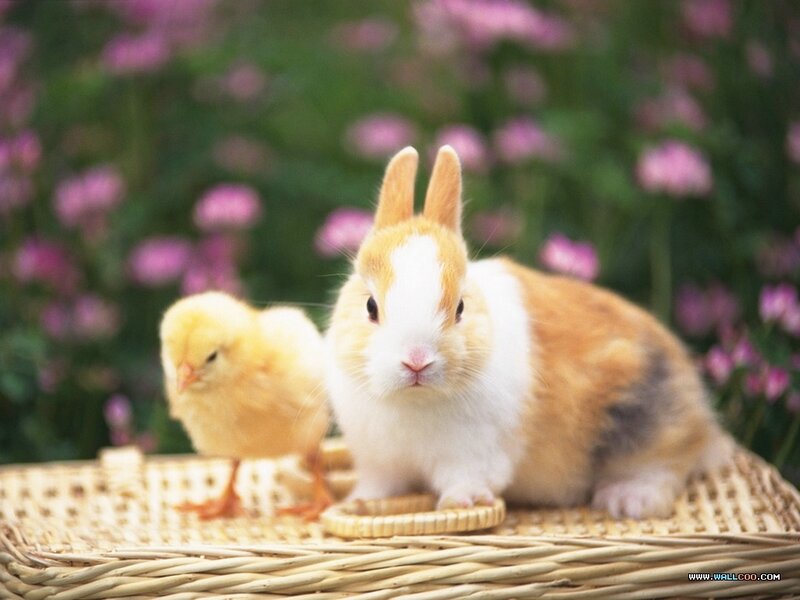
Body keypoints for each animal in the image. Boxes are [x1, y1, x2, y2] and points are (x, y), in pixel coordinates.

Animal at [325, 145, 732, 519]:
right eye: (370, 307)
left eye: (460, 309)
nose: (417, 361)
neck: (414, 400)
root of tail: (697, 401)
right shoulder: (381, 462)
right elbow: (380, 486)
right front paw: (358, 501)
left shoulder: (473, 453)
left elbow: (466, 479)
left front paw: (464, 502)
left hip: (643, 417)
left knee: (670, 459)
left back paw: (627, 500)